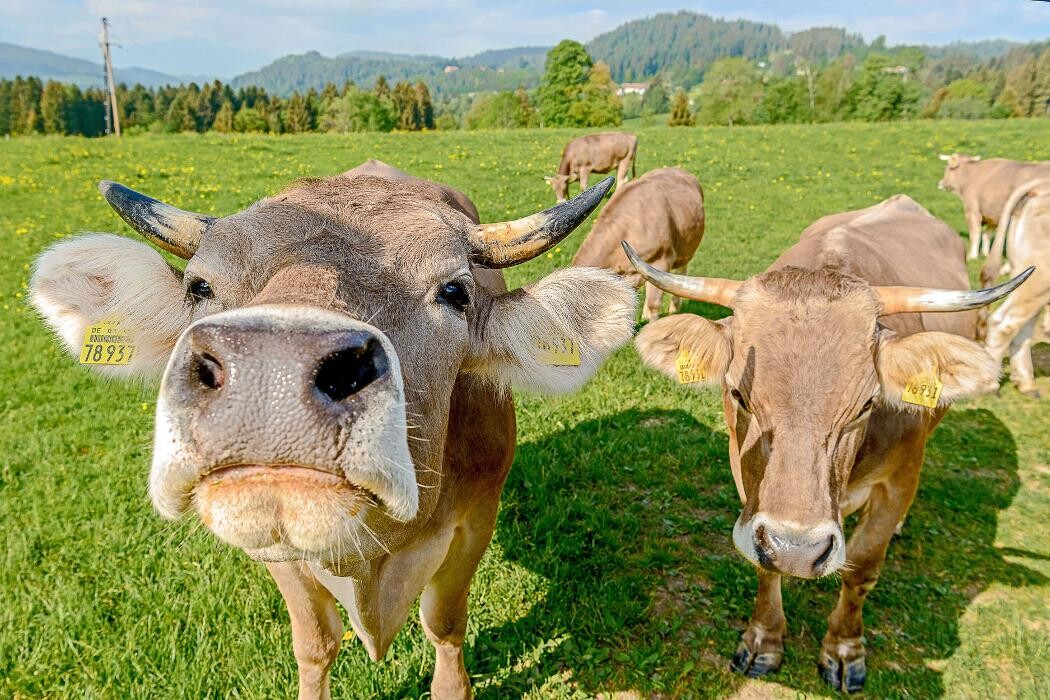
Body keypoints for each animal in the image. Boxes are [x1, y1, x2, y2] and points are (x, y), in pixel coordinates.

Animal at [30, 166, 638, 696]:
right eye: (199, 286)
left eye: (454, 292)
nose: (271, 371)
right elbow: (316, 643)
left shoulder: (476, 523)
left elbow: (444, 623)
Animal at [621, 194, 1024, 692]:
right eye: (738, 394)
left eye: (867, 403)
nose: (797, 549)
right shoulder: (745, 477)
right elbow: (763, 564)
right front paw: (763, 641)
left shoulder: (899, 479)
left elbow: (862, 568)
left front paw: (844, 651)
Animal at [974, 179, 1050, 398]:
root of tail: (1039, 188)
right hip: (1039, 282)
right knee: (1003, 323)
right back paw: (991, 386)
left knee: (1022, 328)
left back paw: (1026, 383)